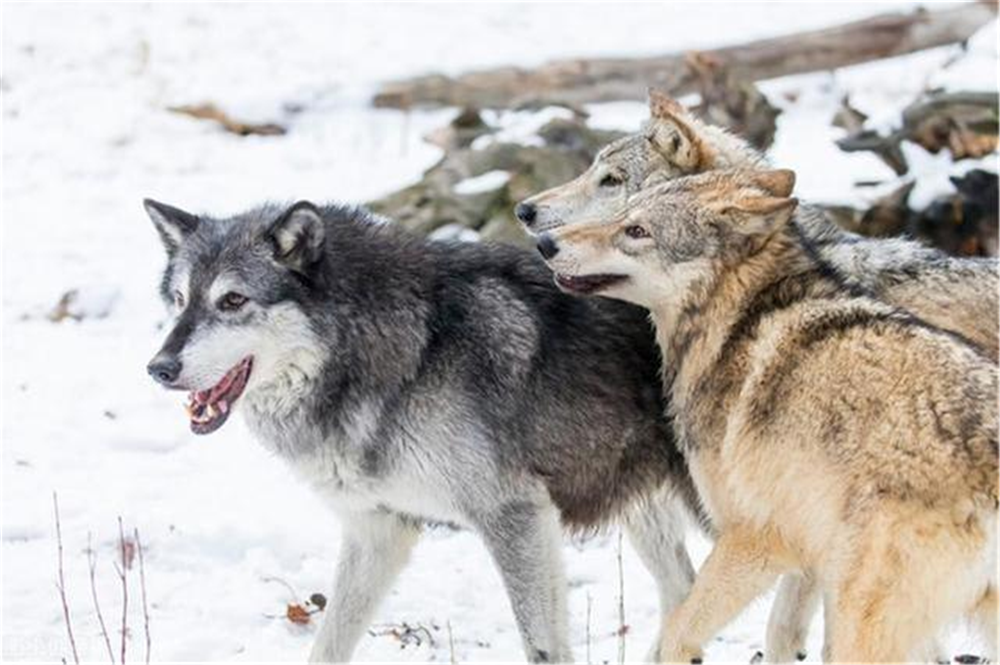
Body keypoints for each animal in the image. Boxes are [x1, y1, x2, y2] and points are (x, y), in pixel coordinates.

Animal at [143, 200, 704, 660]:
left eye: (232, 301)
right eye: (179, 299)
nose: (159, 368)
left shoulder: (516, 516)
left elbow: (543, 648)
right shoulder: (378, 530)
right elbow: (327, 646)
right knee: (685, 595)